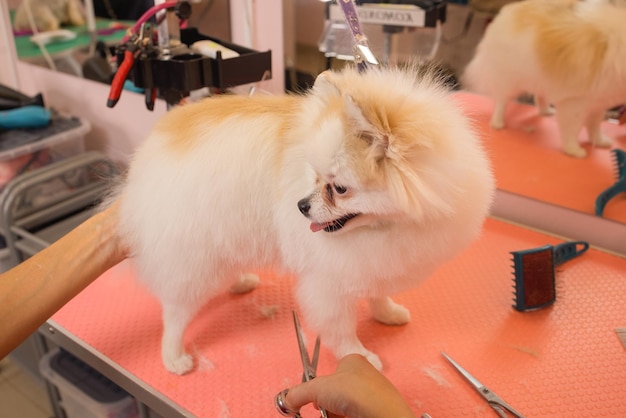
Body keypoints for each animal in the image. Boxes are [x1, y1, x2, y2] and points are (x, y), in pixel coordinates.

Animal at [111, 65, 492, 376]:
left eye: (338, 188)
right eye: (314, 175)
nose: (301, 206)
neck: (383, 226)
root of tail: (153, 148)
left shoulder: (372, 259)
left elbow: (376, 290)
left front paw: (386, 312)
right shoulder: (328, 281)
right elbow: (340, 327)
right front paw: (359, 355)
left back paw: (240, 281)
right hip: (194, 256)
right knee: (175, 312)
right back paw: (174, 356)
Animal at [460, 0, 624, 158]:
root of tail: (504, 14)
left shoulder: (598, 104)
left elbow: (594, 127)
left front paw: (599, 142)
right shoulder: (575, 105)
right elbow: (572, 131)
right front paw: (574, 150)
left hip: (540, 79)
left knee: (539, 97)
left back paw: (546, 111)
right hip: (510, 81)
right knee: (502, 101)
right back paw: (498, 122)